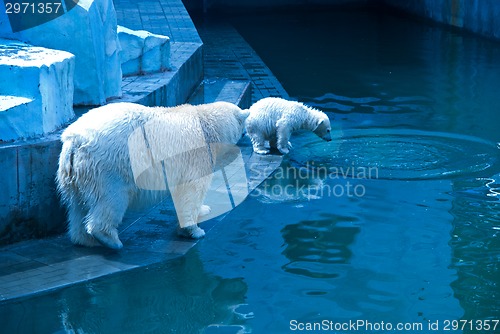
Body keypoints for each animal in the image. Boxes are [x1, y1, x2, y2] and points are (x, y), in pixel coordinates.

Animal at [57, 102, 250, 250]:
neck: (207, 123)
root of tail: (74, 139)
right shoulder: (196, 156)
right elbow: (192, 191)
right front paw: (194, 231)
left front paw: (203, 210)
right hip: (108, 169)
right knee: (111, 200)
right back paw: (111, 241)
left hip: (74, 172)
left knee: (77, 205)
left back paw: (85, 240)